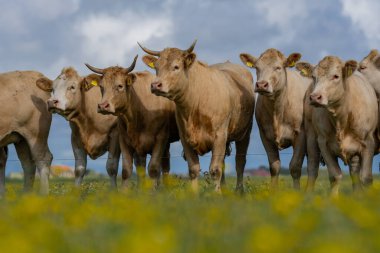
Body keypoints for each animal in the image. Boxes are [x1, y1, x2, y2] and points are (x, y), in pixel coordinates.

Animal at [85, 55, 180, 188]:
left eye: (120, 86)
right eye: (101, 87)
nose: (103, 106)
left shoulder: (161, 138)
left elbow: (153, 169)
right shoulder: (124, 140)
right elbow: (127, 170)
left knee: (164, 167)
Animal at [138, 40, 254, 193]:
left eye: (176, 66)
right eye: (156, 67)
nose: (155, 85)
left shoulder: (219, 135)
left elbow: (215, 169)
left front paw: (216, 194)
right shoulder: (185, 137)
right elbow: (193, 169)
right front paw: (194, 194)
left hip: (244, 134)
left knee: (240, 162)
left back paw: (239, 190)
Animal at [239, 48, 314, 189]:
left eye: (278, 67)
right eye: (257, 67)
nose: (261, 85)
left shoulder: (300, 135)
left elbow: (295, 167)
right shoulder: (265, 136)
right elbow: (274, 167)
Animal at [296, 55, 378, 194]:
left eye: (336, 76)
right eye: (313, 76)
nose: (315, 97)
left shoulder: (368, 142)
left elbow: (366, 178)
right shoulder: (323, 143)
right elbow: (335, 176)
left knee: (354, 173)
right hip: (311, 138)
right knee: (312, 169)